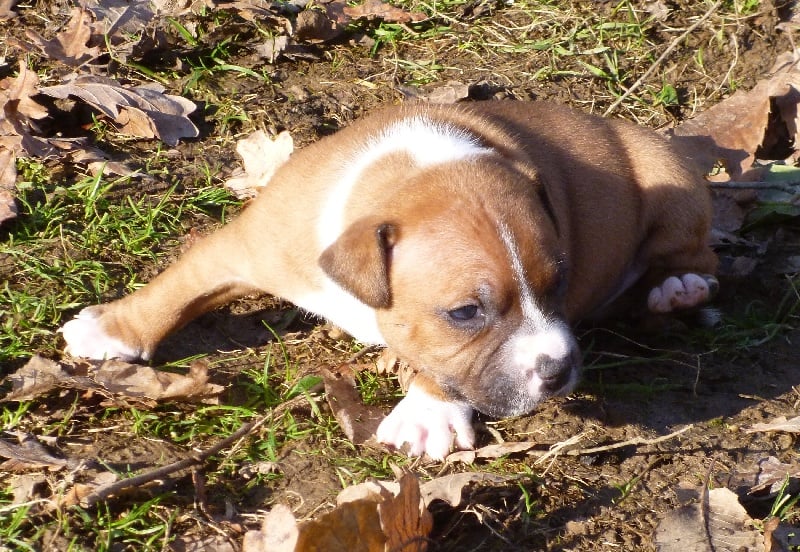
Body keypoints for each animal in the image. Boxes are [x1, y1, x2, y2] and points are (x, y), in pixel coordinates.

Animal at [59, 101, 716, 460]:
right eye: (466, 312)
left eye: (558, 284)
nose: (559, 370)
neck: (412, 171)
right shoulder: (244, 243)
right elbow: (181, 281)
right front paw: (115, 327)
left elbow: (437, 365)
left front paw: (427, 411)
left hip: (669, 176)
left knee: (695, 252)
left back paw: (676, 288)